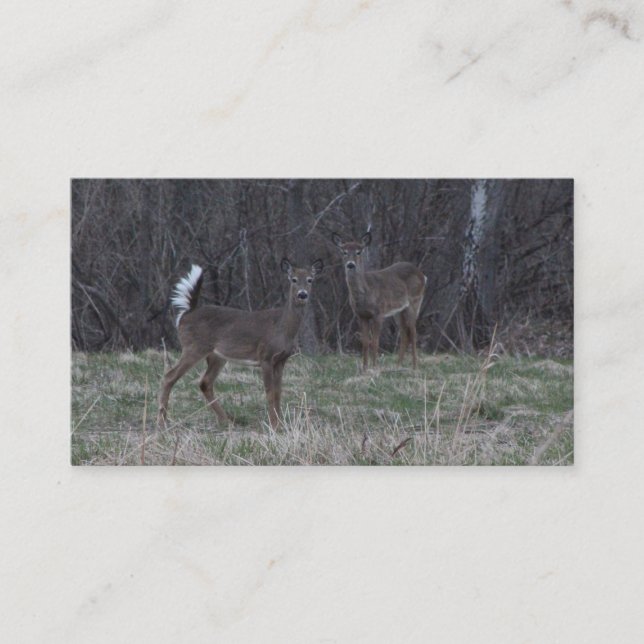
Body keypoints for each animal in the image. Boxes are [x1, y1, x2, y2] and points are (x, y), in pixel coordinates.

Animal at [157, 258, 323, 430]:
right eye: (294, 279)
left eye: (310, 279)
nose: (302, 294)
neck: (282, 327)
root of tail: (186, 314)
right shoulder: (265, 356)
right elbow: (270, 393)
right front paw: (273, 425)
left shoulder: (281, 359)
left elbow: (278, 393)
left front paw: (281, 424)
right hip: (194, 347)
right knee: (169, 376)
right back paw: (162, 422)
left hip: (217, 356)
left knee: (205, 382)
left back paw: (226, 421)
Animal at [332, 231, 426, 370]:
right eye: (344, 251)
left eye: (359, 251)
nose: (350, 264)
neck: (365, 293)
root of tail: (422, 275)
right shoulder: (361, 315)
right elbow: (366, 342)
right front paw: (365, 368)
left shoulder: (379, 313)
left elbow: (375, 342)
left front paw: (375, 367)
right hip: (399, 310)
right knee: (405, 334)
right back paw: (398, 365)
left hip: (414, 302)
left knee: (413, 333)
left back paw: (415, 367)